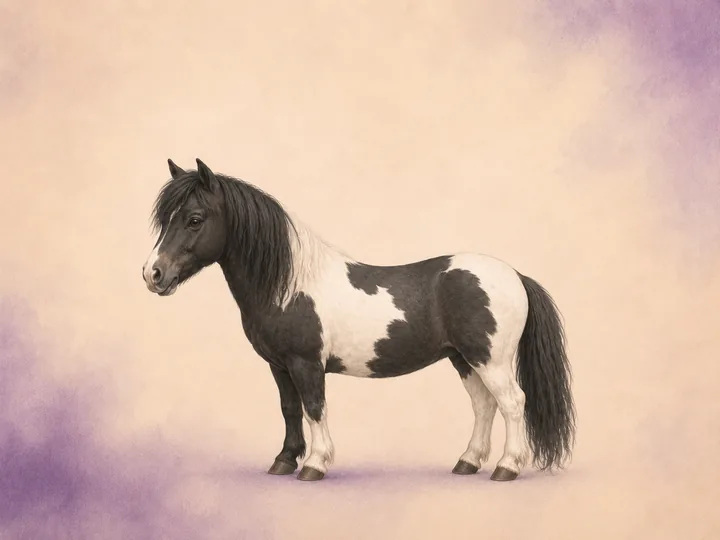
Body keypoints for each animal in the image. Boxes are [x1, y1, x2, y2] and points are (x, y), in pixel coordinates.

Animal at [142, 158, 576, 482]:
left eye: (195, 219)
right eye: (166, 219)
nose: (153, 274)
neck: (289, 283)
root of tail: (514, 275)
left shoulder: (306, 363)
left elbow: (315, 407)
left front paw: (314, 465)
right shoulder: (279, 365)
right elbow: (289, 408)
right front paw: (284, 460)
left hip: (491, 359)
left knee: (512, 403)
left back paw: (506, 467)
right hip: (463, 359)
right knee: (485, 406)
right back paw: (467, 462)